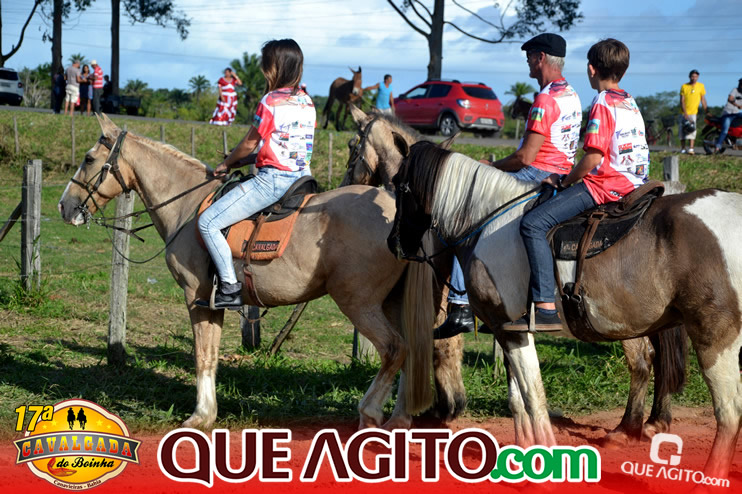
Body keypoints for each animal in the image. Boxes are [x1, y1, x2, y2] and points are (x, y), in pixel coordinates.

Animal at [57, 113, 443, 431]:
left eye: (88, 159)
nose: (65, 206)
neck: (188, 207)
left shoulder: (196, 298)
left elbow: (202, 355)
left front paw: (199, 416)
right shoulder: (212, 304)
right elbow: (210, 356)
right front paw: (208, 413)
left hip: (358, 302)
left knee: (395, 349)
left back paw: (371, 412)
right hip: (393, 302)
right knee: (413, 352)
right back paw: (400, 419)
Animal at [388, 139, 742, 479]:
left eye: (398, 186)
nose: (393, 243)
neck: (486, 222)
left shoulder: (510, 329)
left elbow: (534, 398)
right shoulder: (509, 332)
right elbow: (518, 401)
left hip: (714, 338)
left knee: (728, 412)